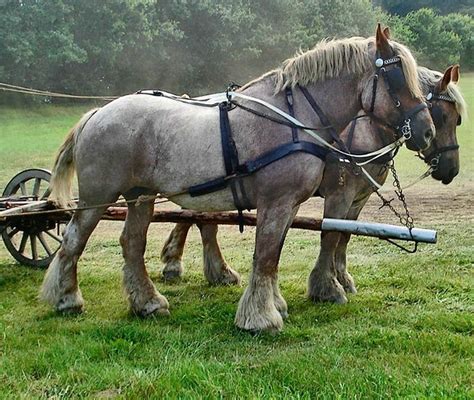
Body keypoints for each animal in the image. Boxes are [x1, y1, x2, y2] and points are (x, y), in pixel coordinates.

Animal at [161, 65, 464, 304]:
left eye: (457, 119)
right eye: (442, 115)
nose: (451, 169)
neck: (366, 131)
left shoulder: (359, 198)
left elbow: (345, 235)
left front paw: (342, 278)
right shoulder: (340, 194)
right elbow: (331, 235)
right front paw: (329, 286)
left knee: (197, 217)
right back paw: (179, 264)